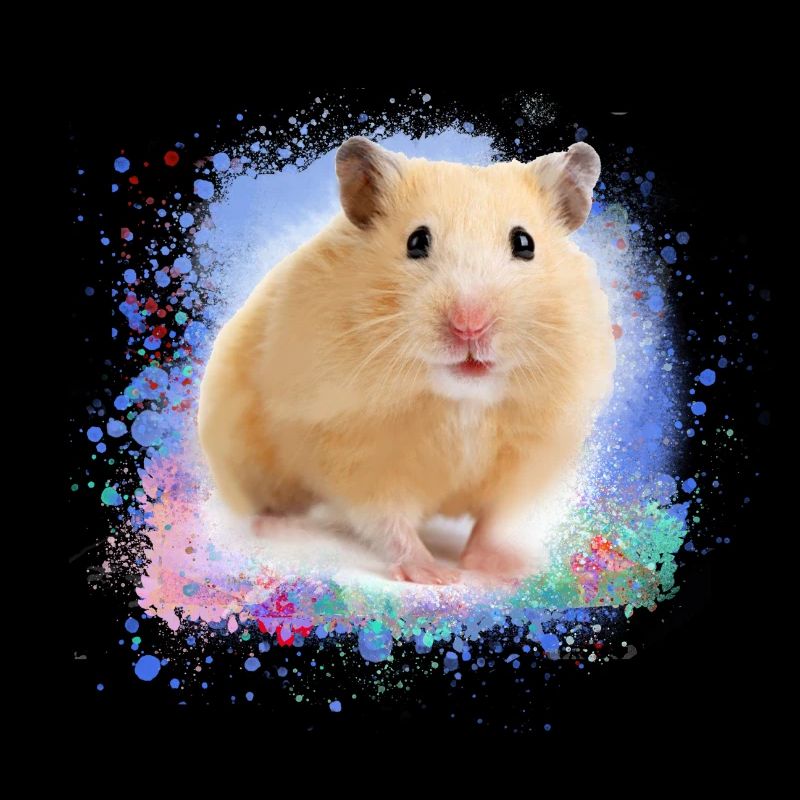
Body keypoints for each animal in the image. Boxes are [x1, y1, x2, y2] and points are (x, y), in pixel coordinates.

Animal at [198, 137, 615, 584]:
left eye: (525, 243)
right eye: (416, 241)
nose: (470, 325)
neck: (462, 399)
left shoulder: (528, 455)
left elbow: (495, 520)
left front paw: (506, 571)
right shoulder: (353, 449)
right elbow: (388, 519)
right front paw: (436, 575)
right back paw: (280, 528)